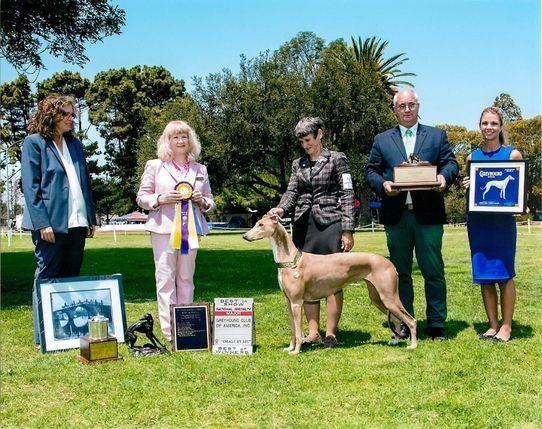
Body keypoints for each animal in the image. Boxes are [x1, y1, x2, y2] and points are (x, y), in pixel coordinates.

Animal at [244, 214, 418, 354]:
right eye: (256, 223)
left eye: (261, 225)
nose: (245, 236)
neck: (292, 260)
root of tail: (389, 263)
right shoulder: (289, 302)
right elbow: (293, 331)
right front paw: (290, 348)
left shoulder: (297, 302)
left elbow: (299, 332)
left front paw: (296, 351)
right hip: (378, 298)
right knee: (397, 319)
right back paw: (395, 340)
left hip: (389, 297)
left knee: (411, 320)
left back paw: (413, 345)